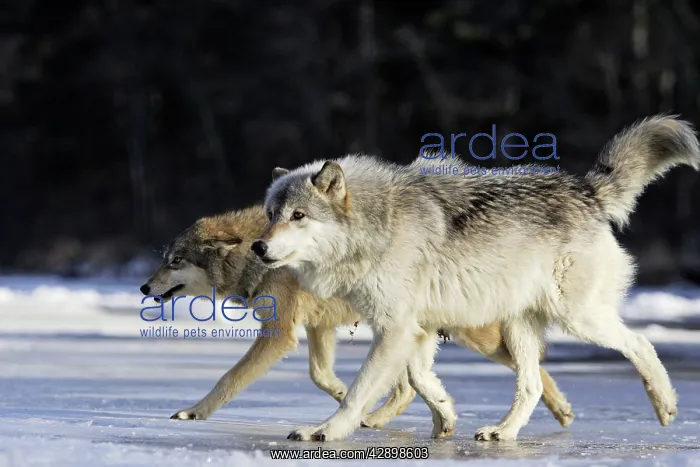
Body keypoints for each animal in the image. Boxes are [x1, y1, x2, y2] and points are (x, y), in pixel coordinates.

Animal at [140, 207, 575, 427]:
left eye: (175, 261)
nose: (144, 288)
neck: (255, 256)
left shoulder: (280, 334)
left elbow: (228, 378)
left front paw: (195, 411)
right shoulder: (317, 326)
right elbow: (320, 375)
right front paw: (343, 396)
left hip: (473, 336)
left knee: (533, 366)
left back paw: (559, 411)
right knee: (407, 389)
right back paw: (383, 418)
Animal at [255, 115, 699, 442]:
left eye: (298, 216)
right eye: (271, 214)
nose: (258, 247)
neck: (376, 225)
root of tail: (585, 189)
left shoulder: (396, 328)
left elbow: (358, 393)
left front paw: (323, 432)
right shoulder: (417, 328)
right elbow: (419, 378)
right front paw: (445, 416)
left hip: (578, 319)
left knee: (640, 343)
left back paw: (665, 405)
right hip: (520, 327)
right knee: (532, 387)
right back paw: (503, 432)